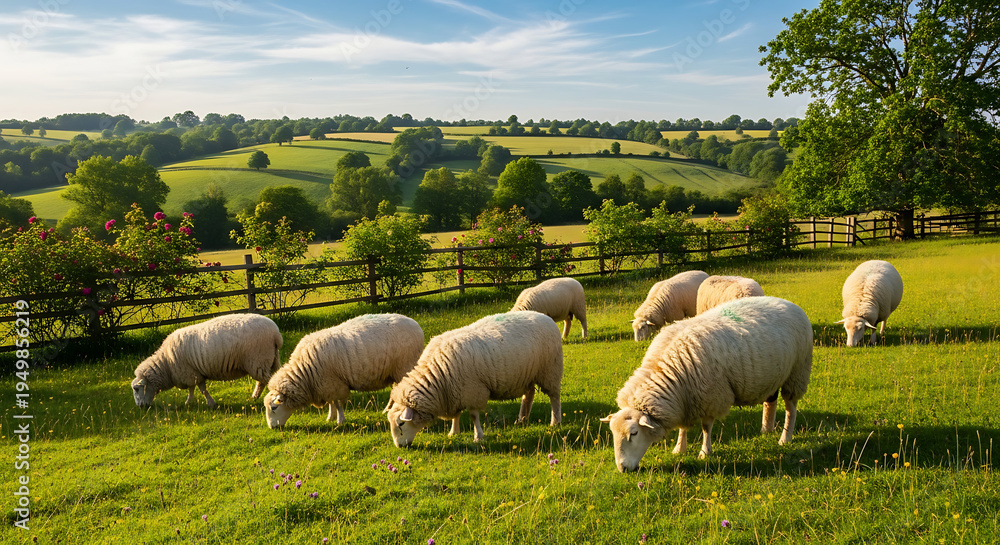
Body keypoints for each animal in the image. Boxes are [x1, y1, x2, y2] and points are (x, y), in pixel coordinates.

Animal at [131, 314, 282, 409]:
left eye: (136, 389)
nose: (140, 407)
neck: (166, 364)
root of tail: (276, 334)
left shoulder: (190, 373)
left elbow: (202, 390)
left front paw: (210, 404)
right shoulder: (191, 374)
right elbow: (192, 389)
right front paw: (189, 402)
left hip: (258, 361)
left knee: (266, 381)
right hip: (271, 360)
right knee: (270, 380)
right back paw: (254, 397)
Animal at [263, 314, 424, 429]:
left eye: (274, 407)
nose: (272, 428)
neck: (305, 373)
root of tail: (416, 325)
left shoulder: (334, 383)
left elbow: (338, 403)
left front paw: (340, 420)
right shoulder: (326, 385)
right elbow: (331, 402)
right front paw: (330, 417)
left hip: (404, 367)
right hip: (394, 372)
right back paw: (386, 410)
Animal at [386, 310, 563, 447]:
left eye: (401, 423)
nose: (400, 446)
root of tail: (545, 317)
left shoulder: (473, 391)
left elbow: (473, 416)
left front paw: (478, 437)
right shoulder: (455, 391)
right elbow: (456, 415)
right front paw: (453, 432)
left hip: (550, 370)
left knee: (554, 397)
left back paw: (555, 422)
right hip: (528, 374)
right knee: (529, 395)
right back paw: (522, 419)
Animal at [601, 296, 812, 471]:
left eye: (634, 433)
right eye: (612, 433)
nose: (622, 469)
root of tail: (789, 303)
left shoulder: (711, 396)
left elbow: (706, 428)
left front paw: (704, 452)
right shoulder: (685, 399)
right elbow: (682, 427)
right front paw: (679, 448)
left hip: (797, 373)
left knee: (791, 408)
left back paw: (785, 438)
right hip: (774, 375)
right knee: (770, 401)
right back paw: (766, 430)